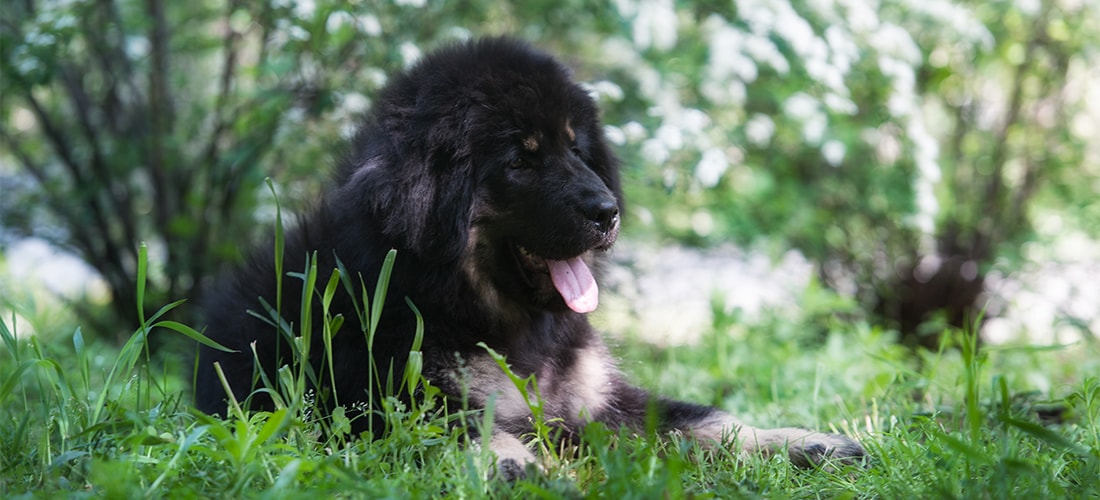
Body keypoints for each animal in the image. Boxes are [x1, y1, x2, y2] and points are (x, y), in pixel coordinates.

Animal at [198, 36, 866, 476]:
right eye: (522, 158)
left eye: (576, 148)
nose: (607, 211)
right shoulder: (401, 400)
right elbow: (476, 436)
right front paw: (532, 472)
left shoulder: (601, 402)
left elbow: (704, 420)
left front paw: (805, 442)